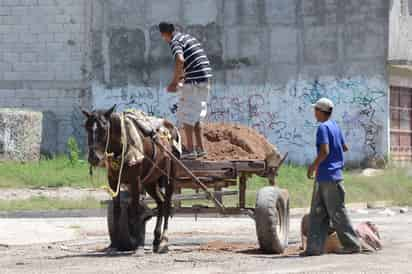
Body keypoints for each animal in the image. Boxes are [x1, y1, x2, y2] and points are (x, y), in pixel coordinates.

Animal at [82, 106, 177, 254]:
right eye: (87, 127)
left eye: (104, 127)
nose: (94, 158)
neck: (122, 146)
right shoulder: (113, 181)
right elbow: (117, 210)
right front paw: (115, 244)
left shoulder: (135, 181)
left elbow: (135, 210)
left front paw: (136, 243)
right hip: (150, 181)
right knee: (161, 203)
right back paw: (156, 239)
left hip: (169, 177)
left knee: (167, 204)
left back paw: (163, 241)